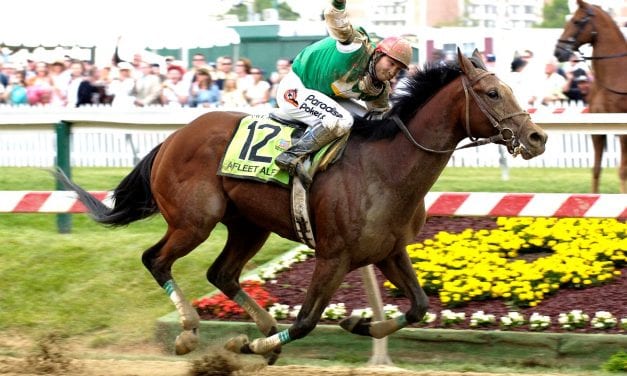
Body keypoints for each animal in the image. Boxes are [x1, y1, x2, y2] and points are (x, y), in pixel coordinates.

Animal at [56, 50, 548, 364]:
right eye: (492, 93)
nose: (537, 136)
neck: (386, 169)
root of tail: (174, 136)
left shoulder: (389, 251)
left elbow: (419, 306)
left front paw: (357, 325)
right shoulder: (333, 256)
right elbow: (308, 319)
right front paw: (247, 347)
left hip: (249, 226)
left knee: (222, 274)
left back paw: (262, 332)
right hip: (195, 221)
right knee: (155, 259)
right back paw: (192, 332)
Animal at [556, 0, 627, 192]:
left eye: (577, 21)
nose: (558, 51)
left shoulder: (623, 133)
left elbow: (622, 171)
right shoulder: (598, 130)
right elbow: (596, 169)